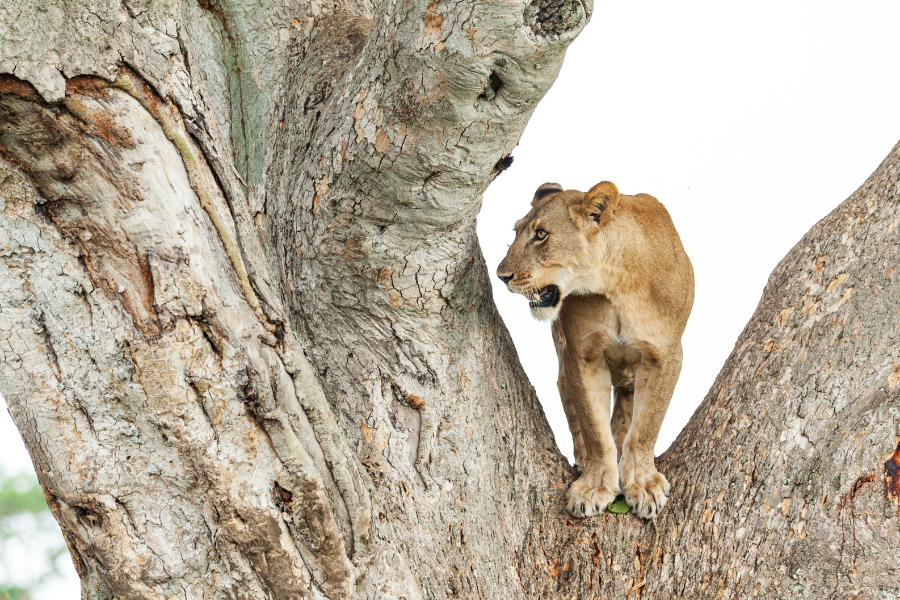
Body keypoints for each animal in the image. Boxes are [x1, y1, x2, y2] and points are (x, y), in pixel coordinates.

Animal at [496, 181, 694, 519]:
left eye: (541, 235)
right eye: (516, 231)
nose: (501, 276)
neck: (616, 284)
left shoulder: (665, 355)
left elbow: (646, 425)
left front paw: (642, 484)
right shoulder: (581, 357)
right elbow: (594, 429)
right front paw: (594, 486)